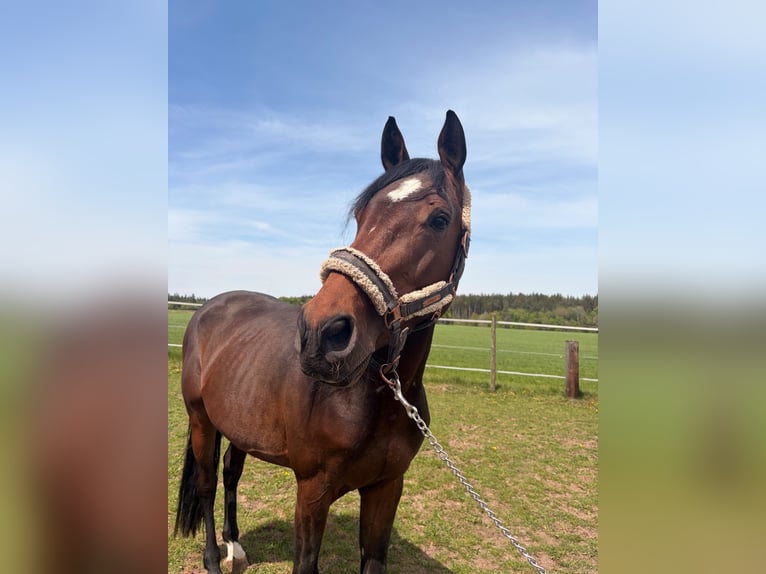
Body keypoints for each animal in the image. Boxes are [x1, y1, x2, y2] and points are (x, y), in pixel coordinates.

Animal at [174, 110, 471, 574]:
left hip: (236, 425)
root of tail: (208, 309)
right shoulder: (312, 493)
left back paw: (234, 545)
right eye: (361, 216)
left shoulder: (387, 489)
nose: (322, 334)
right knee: (206, 485)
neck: (378, 397)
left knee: (230, 473)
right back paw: (211, 559)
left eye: (440, 219)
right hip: (201, 420)